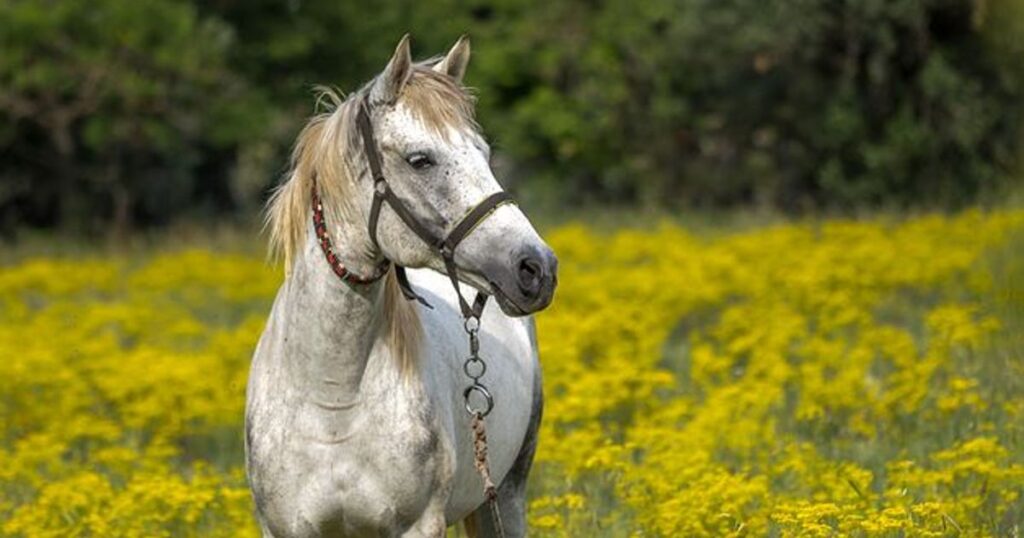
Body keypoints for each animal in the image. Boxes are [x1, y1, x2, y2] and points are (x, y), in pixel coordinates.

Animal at [244, 34, 557, 536]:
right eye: (420, 160)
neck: (333, 400)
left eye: (484, 154)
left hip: (507, 494)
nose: (537, 268)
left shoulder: (418, 524)